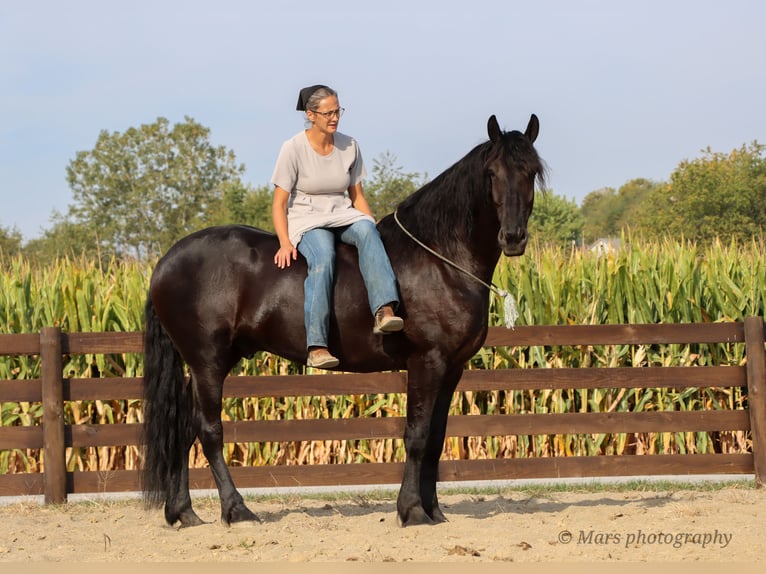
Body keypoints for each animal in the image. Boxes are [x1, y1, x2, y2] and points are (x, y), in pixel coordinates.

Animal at [141, 114, 545, 528]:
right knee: (209, 431)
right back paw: (236, 509)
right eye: (492, 173)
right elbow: (416, 437)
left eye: (531, 172)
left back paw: (183, 511)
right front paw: (412, 510)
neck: (439, 259)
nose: (513, 237)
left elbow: (435, 439)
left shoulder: (452, 368)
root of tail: (167, 261)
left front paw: (433, 510)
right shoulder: (427, 363)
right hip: (207, 362)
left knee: (183, 429)